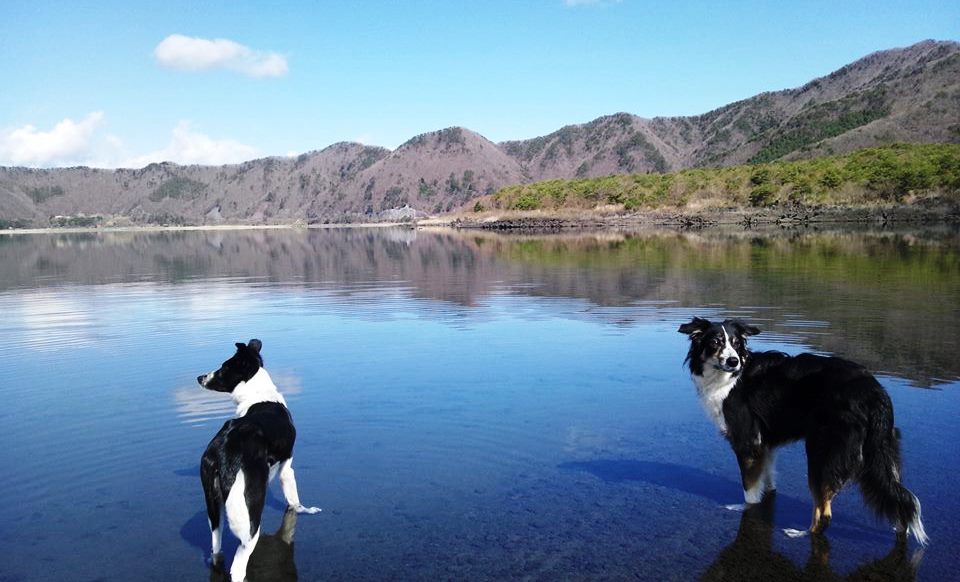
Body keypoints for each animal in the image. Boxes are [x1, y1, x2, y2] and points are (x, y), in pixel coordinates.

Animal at [197, 342, 320, 582]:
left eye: (223, 368)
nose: (200, 377)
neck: (259, 395)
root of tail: (224, 450)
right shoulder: (287, 468)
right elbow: (295, 501)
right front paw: (307, 510)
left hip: (214, 510)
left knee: (216, 549)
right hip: (251, 516)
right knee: (238, 566)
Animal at [680, 320, 928, 548]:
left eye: (736, 343)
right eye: (715, 342)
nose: (733, 361)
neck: (729, 379)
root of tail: (874, 393)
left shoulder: (748, 442)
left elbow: (749, 489)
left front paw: (745, 509)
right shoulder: (765, 445)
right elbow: (767, 480)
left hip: (822, 453)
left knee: (824, 513)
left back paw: (801, 534)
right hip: (884, 452)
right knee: (898, 498)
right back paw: (900, 528)